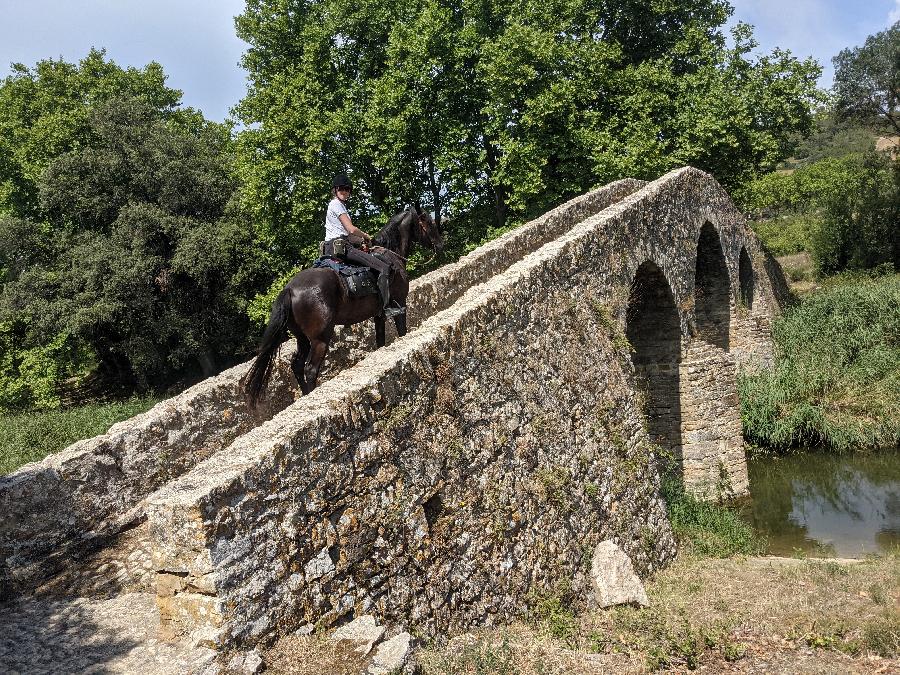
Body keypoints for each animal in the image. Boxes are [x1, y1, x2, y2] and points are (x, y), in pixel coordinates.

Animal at [244, 206, 444, 406]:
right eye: (428, 223)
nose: (440, 246)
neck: (391, 255)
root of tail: (290, 289)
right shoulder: (400, 303)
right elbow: (402, 331)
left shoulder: (379, 315)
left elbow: (380, 342)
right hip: (320, 339)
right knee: (310, 369)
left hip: (302, 338)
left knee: (297, 366)